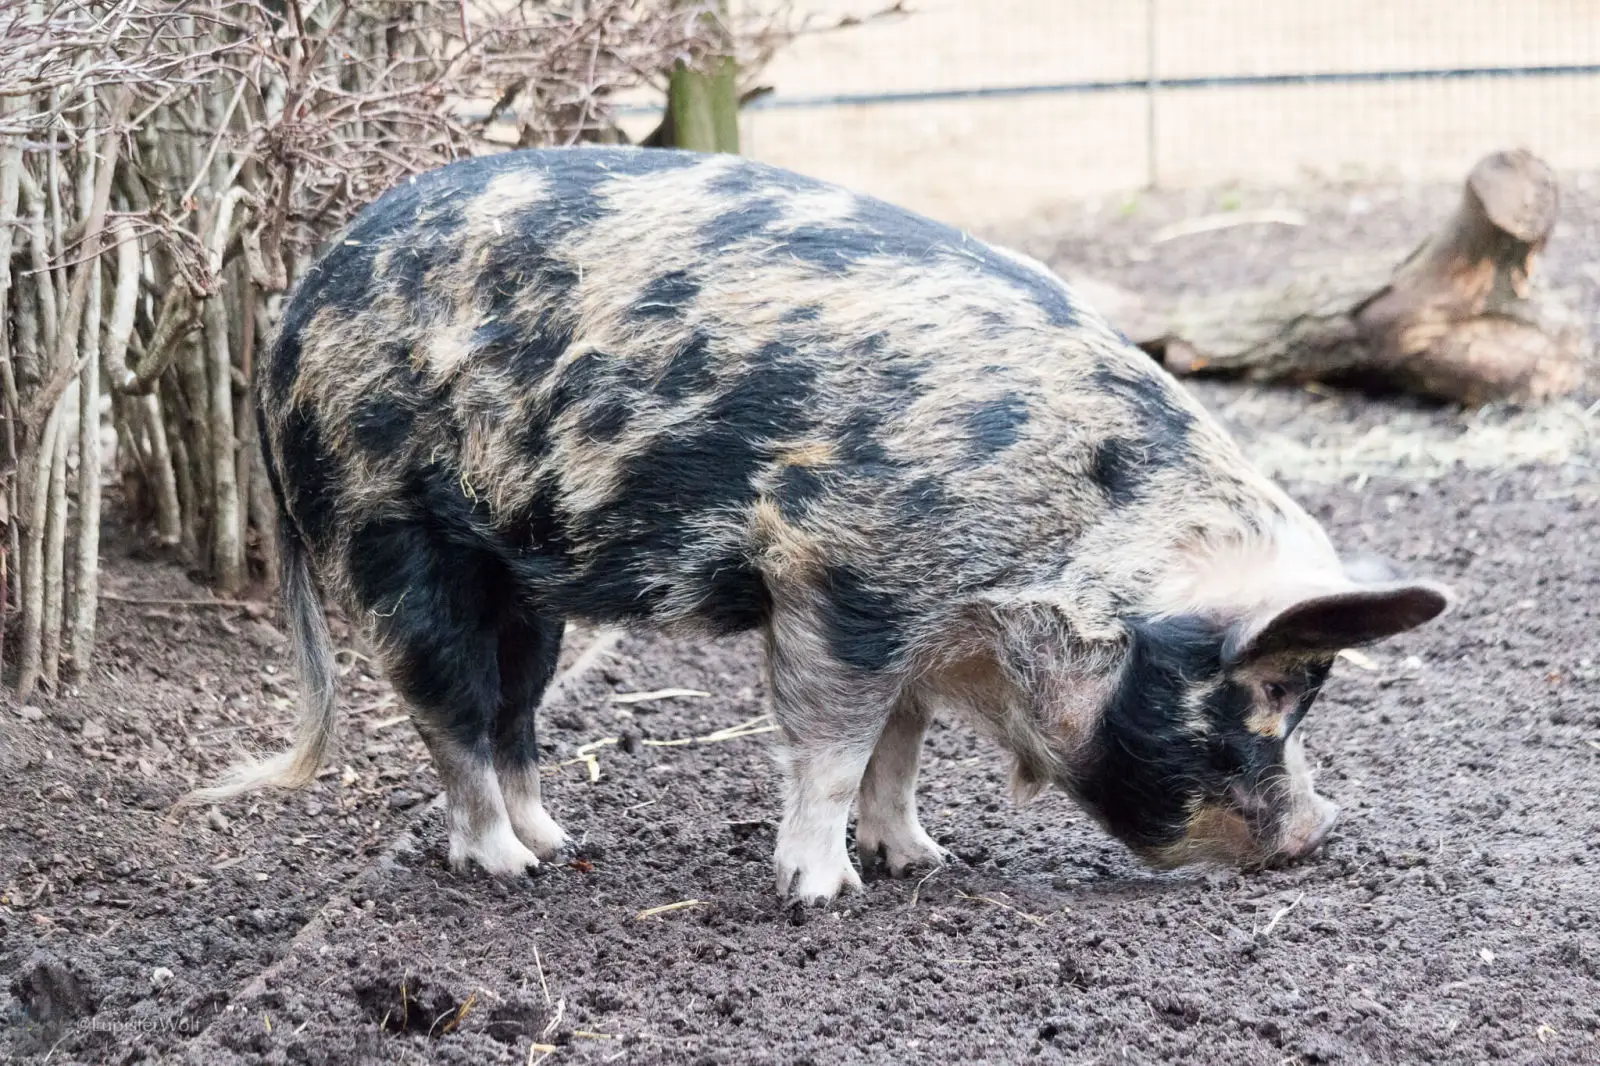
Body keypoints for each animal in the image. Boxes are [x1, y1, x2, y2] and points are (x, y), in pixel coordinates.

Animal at [186, 147, 1452, 903]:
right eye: (1267, 694)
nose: (1319, 829)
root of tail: (291, 311)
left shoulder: (925, 623)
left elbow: (900, 745)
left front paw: (921, 860)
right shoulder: (848, 580)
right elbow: (834, 746)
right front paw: (827, 890)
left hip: (521, 583)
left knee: (513, 709)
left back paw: (558, 842)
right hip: (394, 532)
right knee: (443, 709)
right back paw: (507, 868)